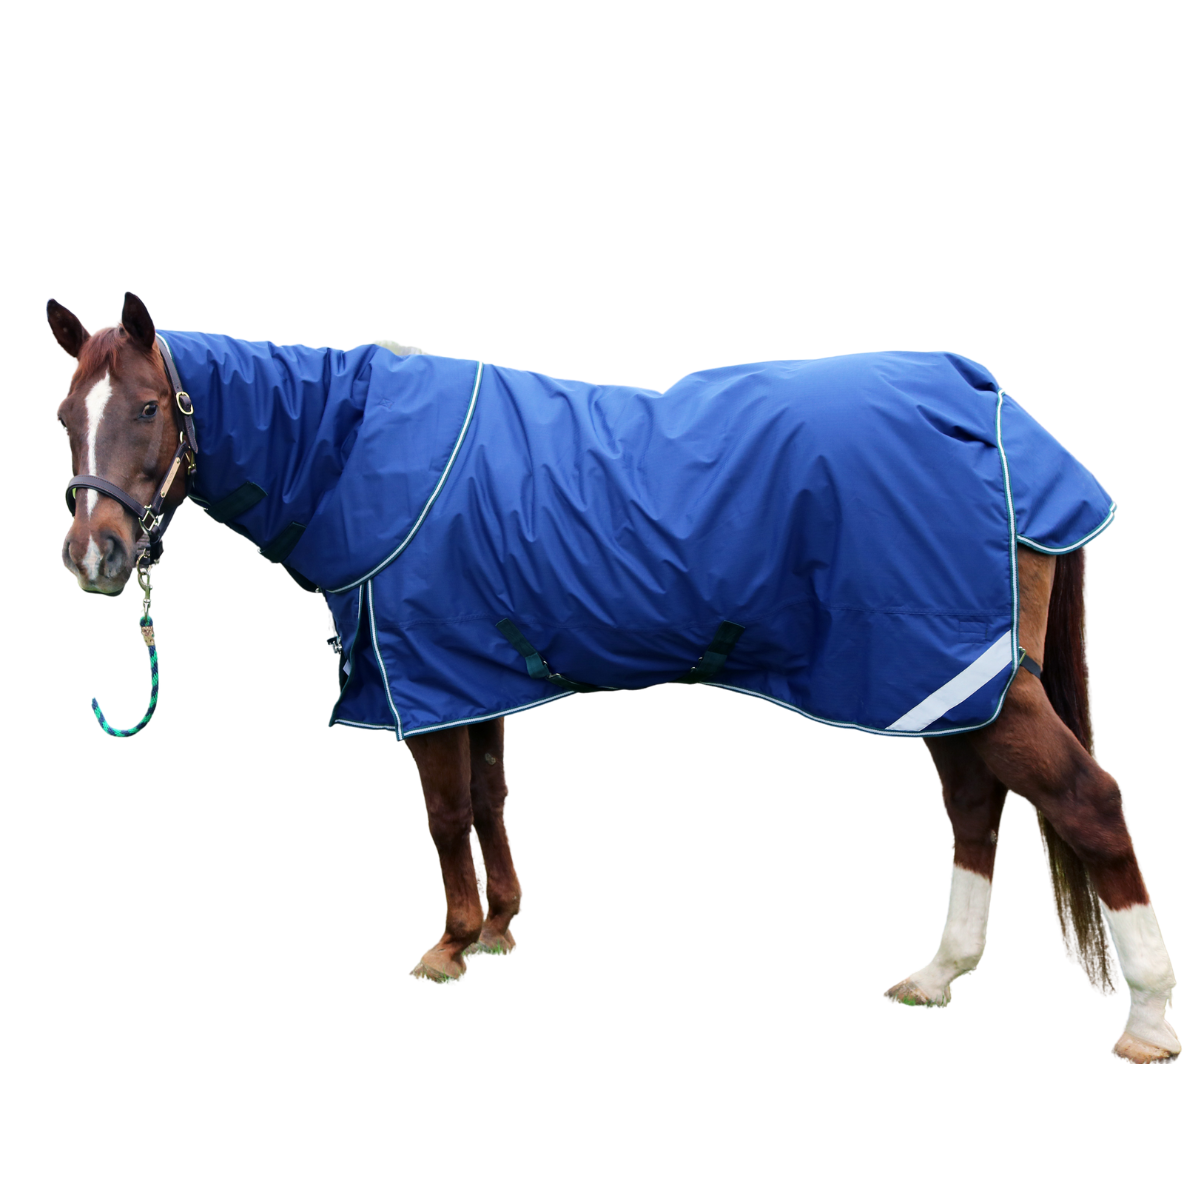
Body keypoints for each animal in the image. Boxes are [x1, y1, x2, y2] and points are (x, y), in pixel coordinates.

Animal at [49, 292, 1180, 1064]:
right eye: (65, 415)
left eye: (146, 408)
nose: (95, 556)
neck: (357, 448)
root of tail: (993, 403)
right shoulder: (476, 672)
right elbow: (491, 796)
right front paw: (501, 926)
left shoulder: (423, 675)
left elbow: (445, 813)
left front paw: (449, 945)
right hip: (949, 685)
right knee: (977, 806)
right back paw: (939, 975)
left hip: (962, 674)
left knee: (1085, 800)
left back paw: (1151, 1017)